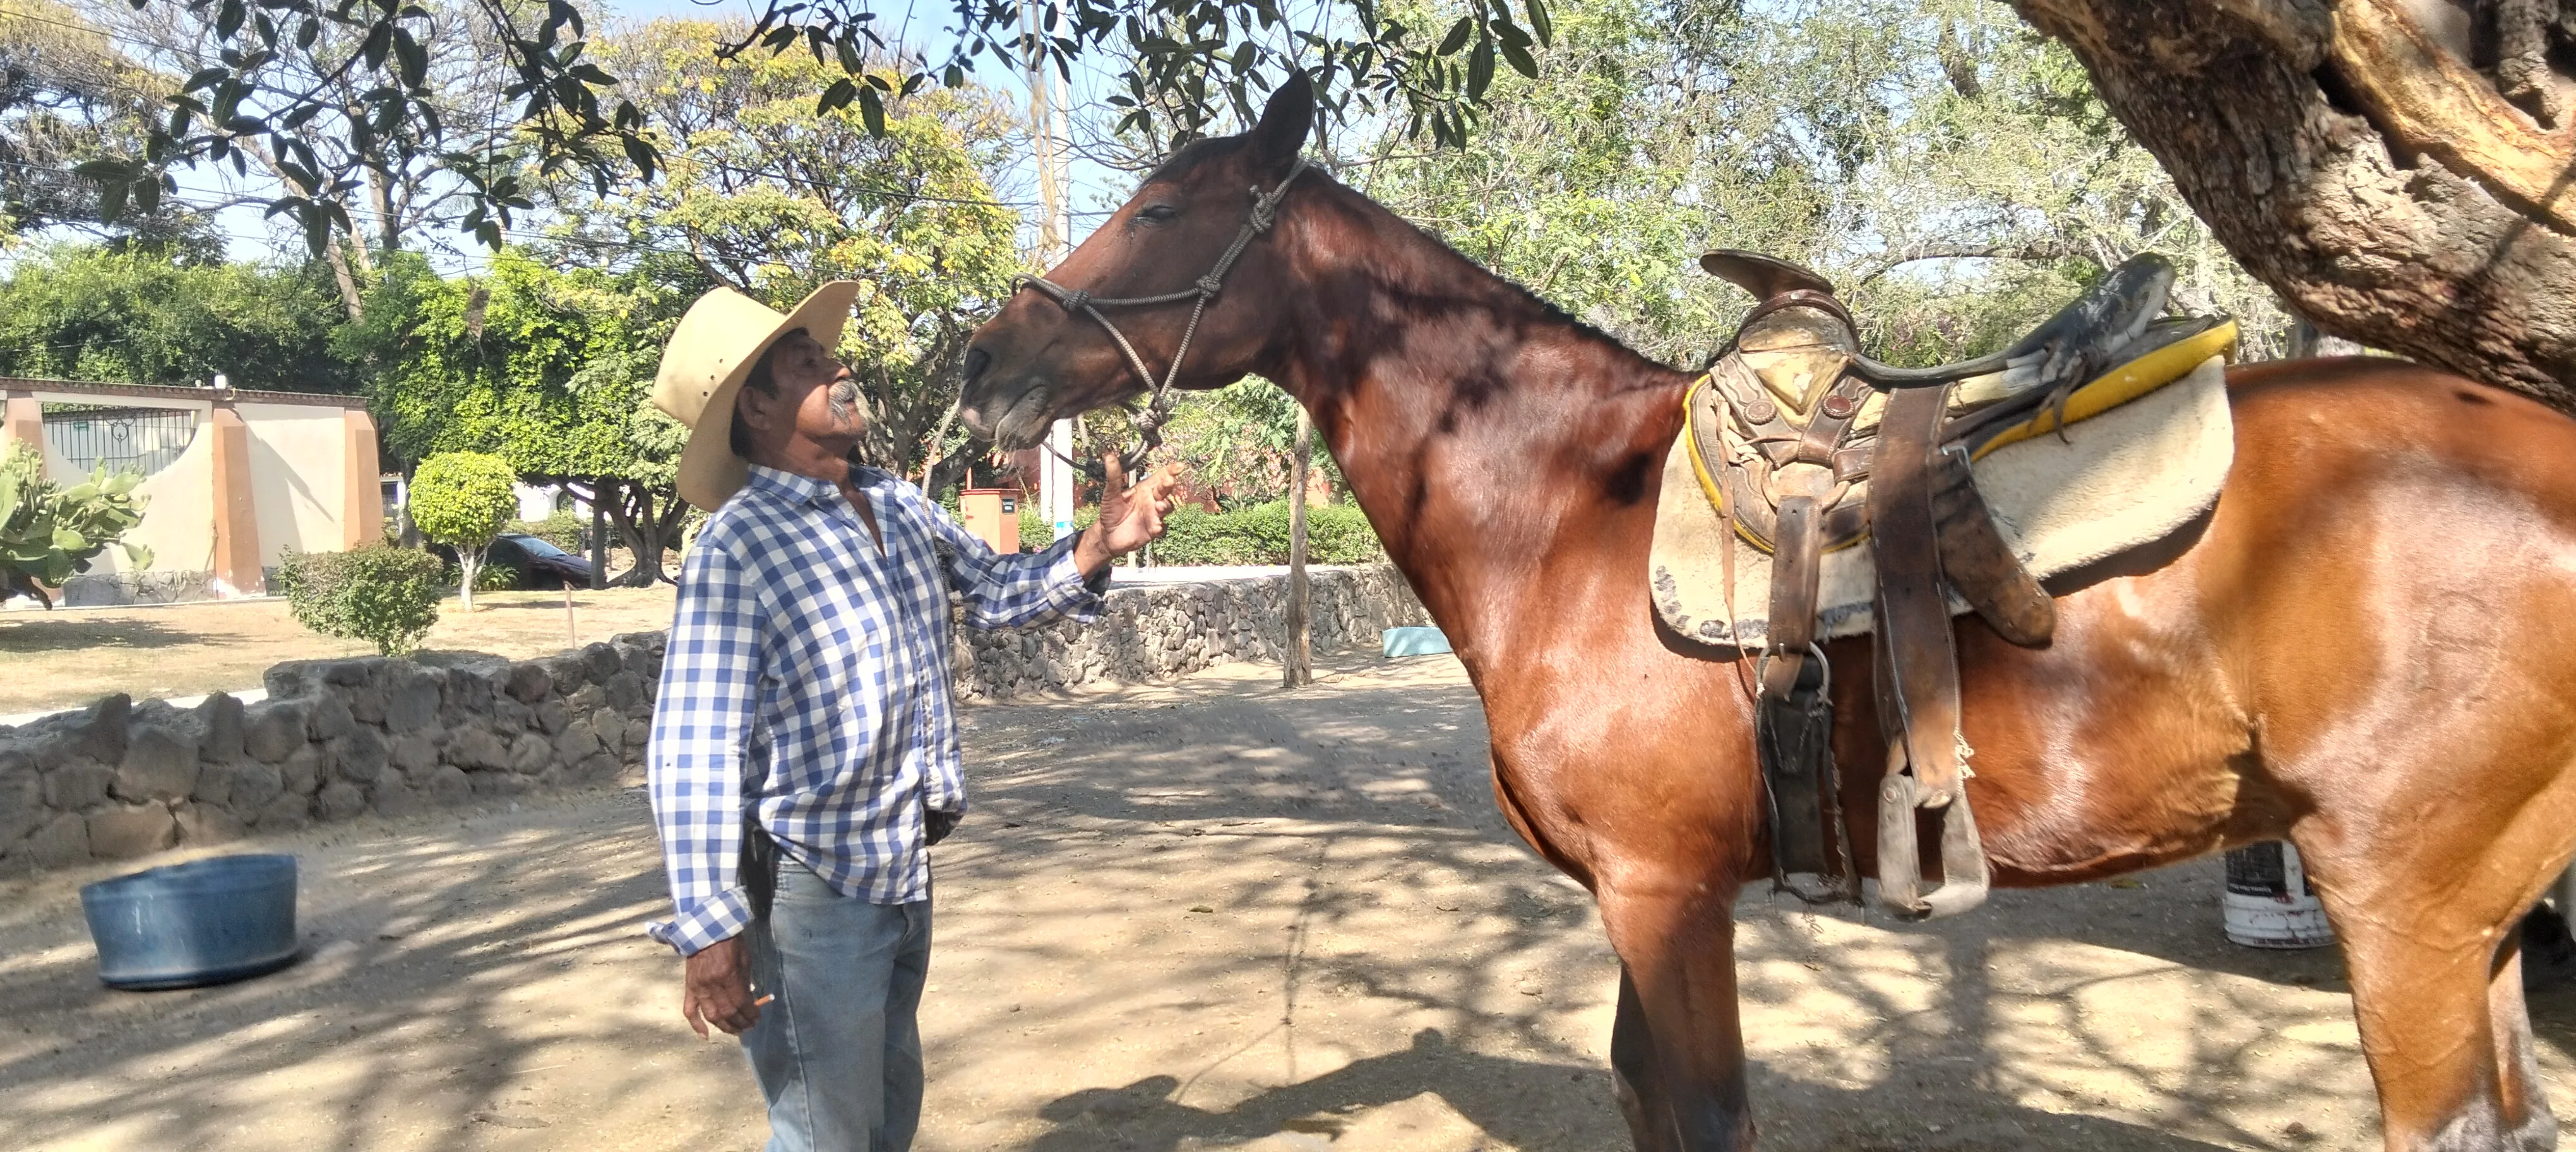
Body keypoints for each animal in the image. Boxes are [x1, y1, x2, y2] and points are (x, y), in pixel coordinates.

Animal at [957, 75, 2576, 1151]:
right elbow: (1643, 1091)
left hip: (2403, 906)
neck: (1570, 503)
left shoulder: (1663, 891)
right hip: (2480, 915)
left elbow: (1703, 1109)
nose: (983, 359)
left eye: (1161, 209)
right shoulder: (1646, 899)